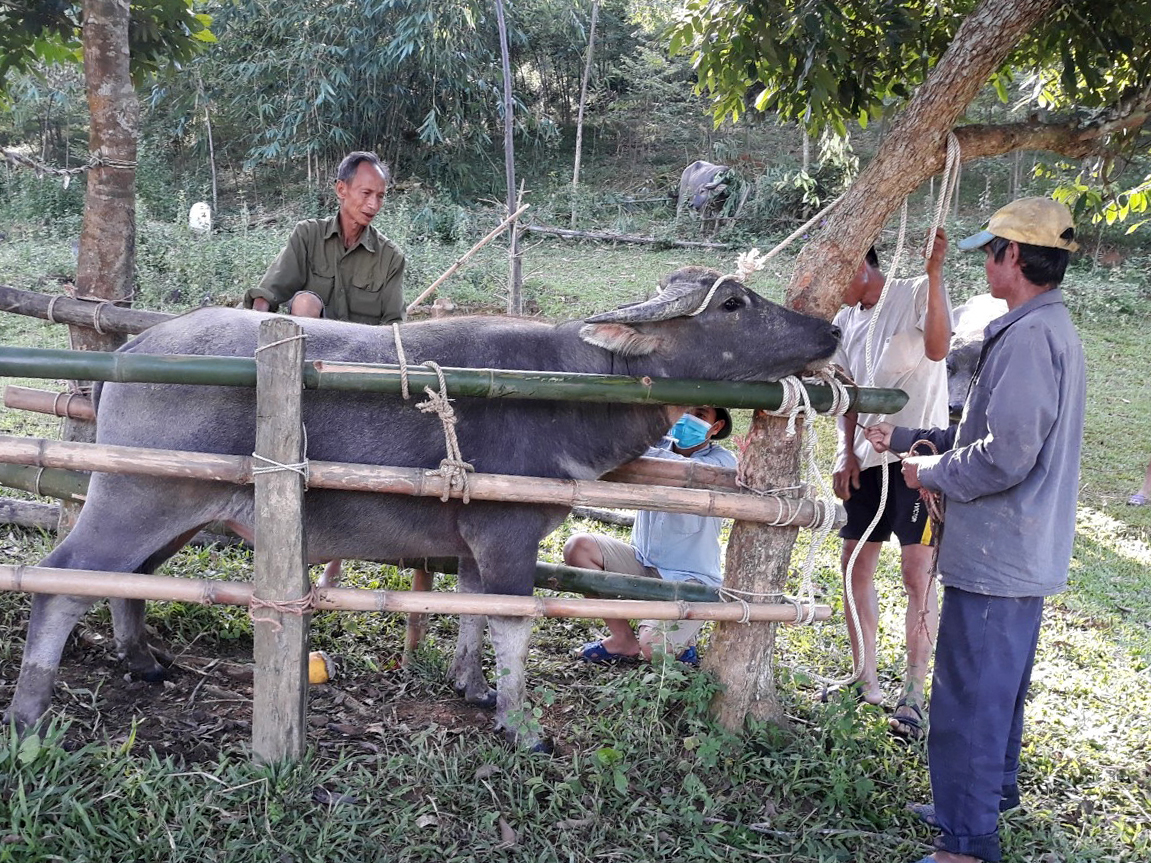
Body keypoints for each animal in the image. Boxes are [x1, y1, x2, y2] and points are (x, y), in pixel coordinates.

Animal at [4, 265, 842, 750]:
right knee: (63, 579)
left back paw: (143, 660)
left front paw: (472, 686)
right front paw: (520, 724)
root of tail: (125, 354)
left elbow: (471, 612)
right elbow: (512, 626)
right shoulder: (506, 535)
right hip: (134, 498)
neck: (571, 382)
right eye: (732, 303)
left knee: (128, 580)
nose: (828, 327)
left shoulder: (475, 541)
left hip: (175, 510)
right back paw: (30, 709)